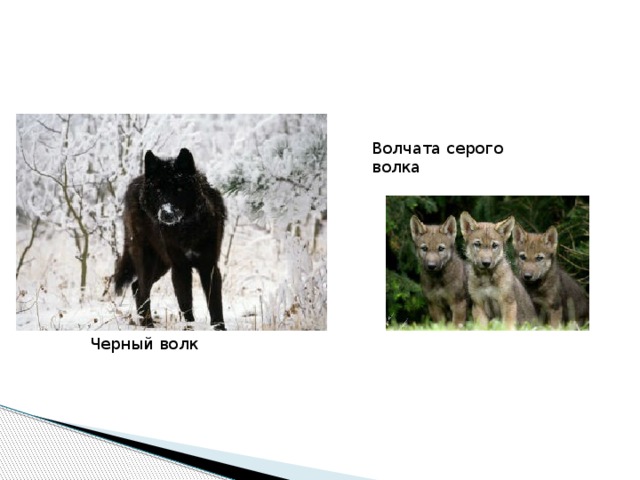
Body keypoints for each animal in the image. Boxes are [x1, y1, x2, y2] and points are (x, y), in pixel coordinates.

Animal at [114, 148, 227, 329]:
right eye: (158, 191)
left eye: (179, 189)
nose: (166, 214)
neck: (186, 230)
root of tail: (135, 182)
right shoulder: (180, 268)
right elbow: (186, 305)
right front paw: (190, 328)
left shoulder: (208, 266)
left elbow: (215, 305)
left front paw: (220, 328)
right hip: (148, 261)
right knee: (142, 290)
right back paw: (148, 325)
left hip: (162, 264)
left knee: (136, 286)